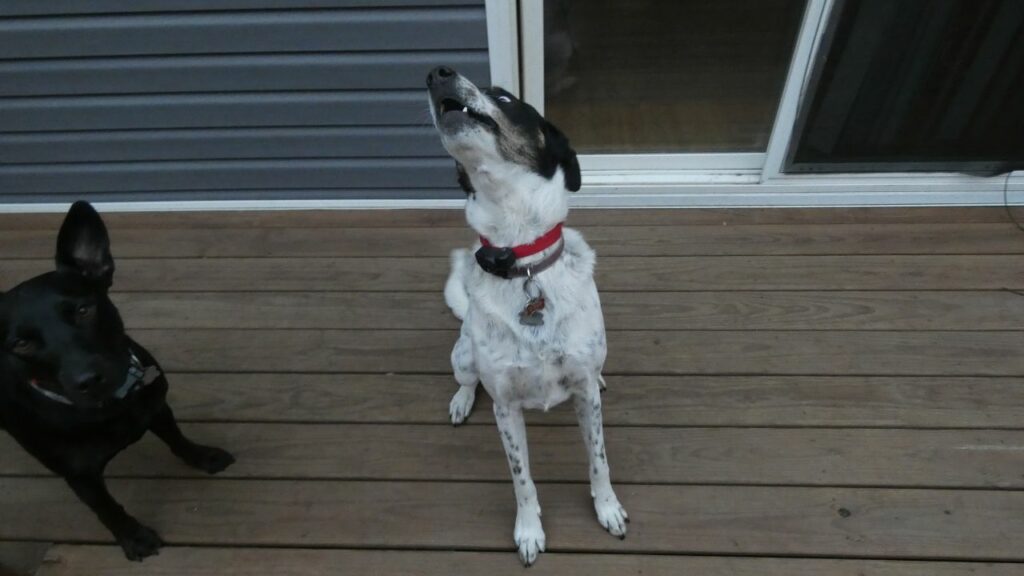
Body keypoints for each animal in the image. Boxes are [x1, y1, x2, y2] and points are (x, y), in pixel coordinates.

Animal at [0, 200, 234, 557]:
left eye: (84, 310)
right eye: (21, 344)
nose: (88, 378)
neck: (110, 407)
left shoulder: (155, 407)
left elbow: (176, 438)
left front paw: (201, 456)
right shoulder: (80, 476)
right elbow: (107, 509)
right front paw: (134, 537)